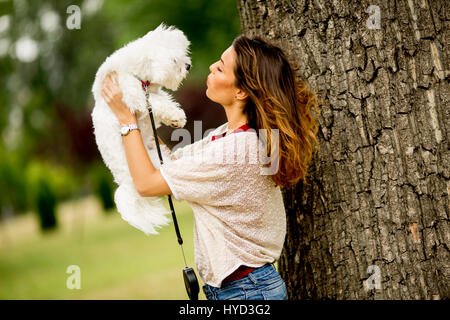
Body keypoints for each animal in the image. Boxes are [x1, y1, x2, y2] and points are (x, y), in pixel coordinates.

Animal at [90, 21, 191, 232]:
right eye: (174, 60)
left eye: (182, 53)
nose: (188, 65)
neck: (134, 71)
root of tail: (126, 186)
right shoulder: (134, 94)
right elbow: (155, 101)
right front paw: (176, 116)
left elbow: (161, 99)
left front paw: (174, 119)